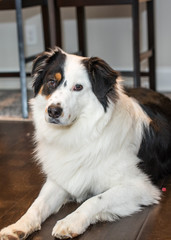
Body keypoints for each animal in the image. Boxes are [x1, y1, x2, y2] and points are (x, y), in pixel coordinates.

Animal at [0, 46, 171, 238]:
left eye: (78, 87)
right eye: (51, 82)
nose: (53, 111)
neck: (81, 134)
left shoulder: (140, 186)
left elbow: (95, 200)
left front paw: (70, 222)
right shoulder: (60, 179)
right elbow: (37, 204)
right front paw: (19, 225)